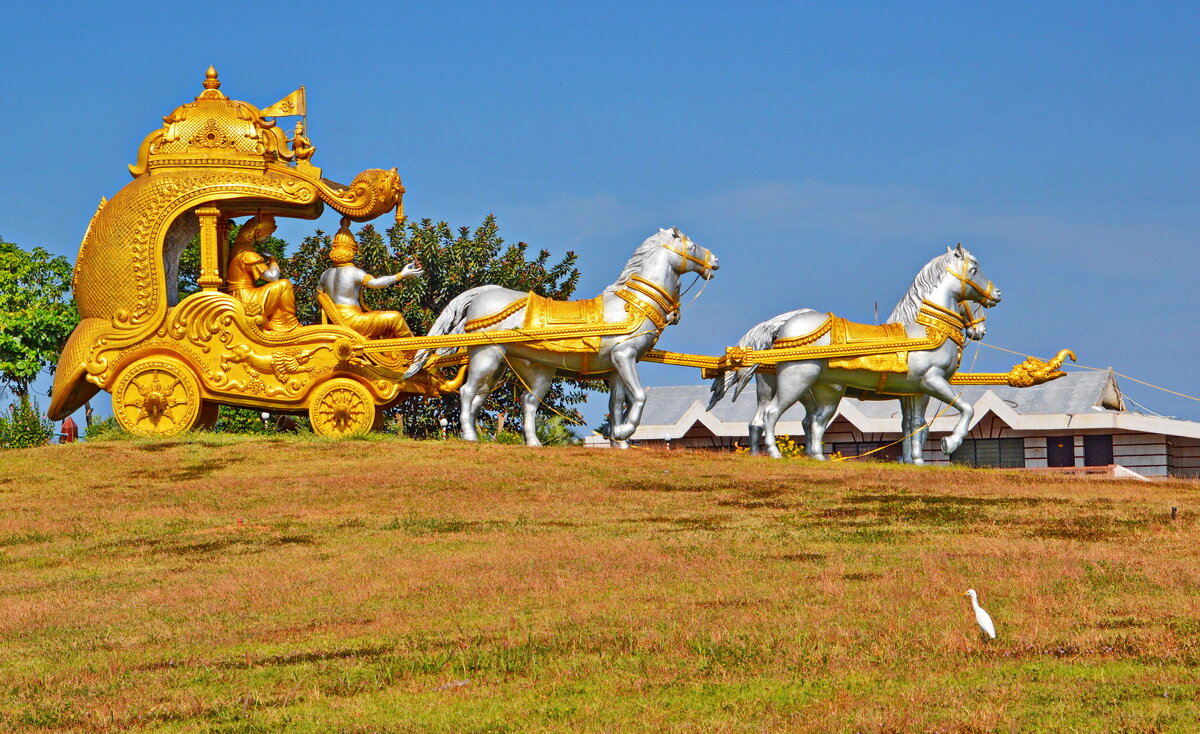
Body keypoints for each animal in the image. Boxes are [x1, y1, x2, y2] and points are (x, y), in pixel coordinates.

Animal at [408, 229, 715, 443]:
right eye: (693, 246)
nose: (715, 261)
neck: (633, 304)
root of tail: (485, 291)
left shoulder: (614, 368)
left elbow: (616, 404)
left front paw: (619, 441)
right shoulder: (624, 356)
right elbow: (639, 396)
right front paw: (625, 431)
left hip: (519, 368)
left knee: (517, 401)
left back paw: (528, 442)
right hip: (487, 356)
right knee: (467, 392)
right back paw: (471, 437)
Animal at [705, 247, 998, 465]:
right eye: (974, 270)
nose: (997, 295)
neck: (926, 329)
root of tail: (783, 324)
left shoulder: (912, 391)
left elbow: (913, 425)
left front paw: (914, 461)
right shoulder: (930, 382)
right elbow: (964, 408)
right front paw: (948, 443)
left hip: (789, 387)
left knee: (779, 420)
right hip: (796, 381)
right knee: (774, 414)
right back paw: (777, 454)